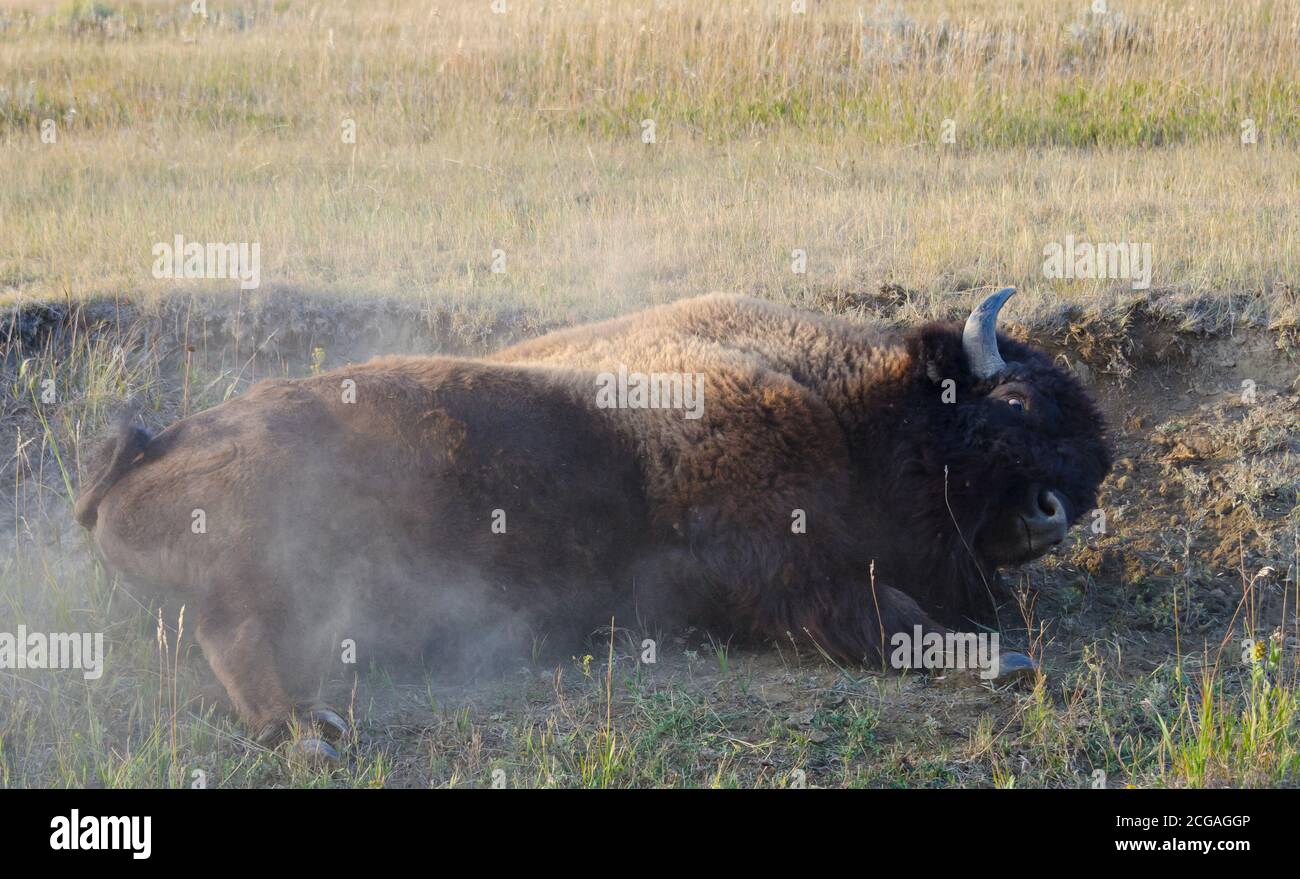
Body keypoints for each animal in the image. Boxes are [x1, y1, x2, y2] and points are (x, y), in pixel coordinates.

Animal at [73, 286, 1107, 754]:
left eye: (1096, 460)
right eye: (1015, 402)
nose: (1056, 511)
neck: (849, 407)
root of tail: (144, 453)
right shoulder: (785, 570)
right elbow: (882, 618)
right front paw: (1000, 659)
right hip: (269, 560)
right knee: (239, 637)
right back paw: (310, 727)